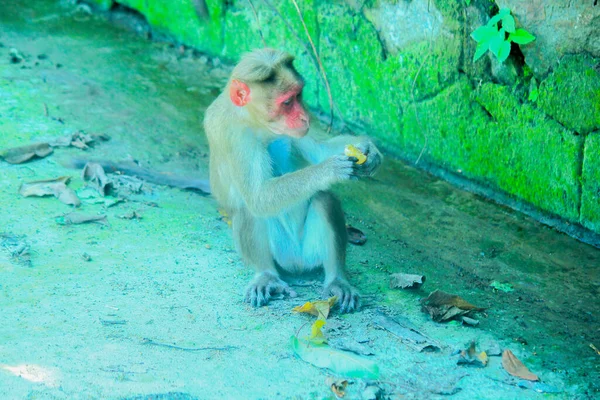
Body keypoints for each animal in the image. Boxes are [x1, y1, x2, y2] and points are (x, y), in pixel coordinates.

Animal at [204, 49, 382, 312]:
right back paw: (266, 275)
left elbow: (319, 149)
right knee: (250, 208)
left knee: (324, 198)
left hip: (309, 251)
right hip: (283, 252)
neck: (256, 122)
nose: (305, 117)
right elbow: (258, 197)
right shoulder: (233, 136)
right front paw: (327, 170)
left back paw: (336, 279)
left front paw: (369, 151)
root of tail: (297, 264)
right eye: (287, 102)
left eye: (299, 95)